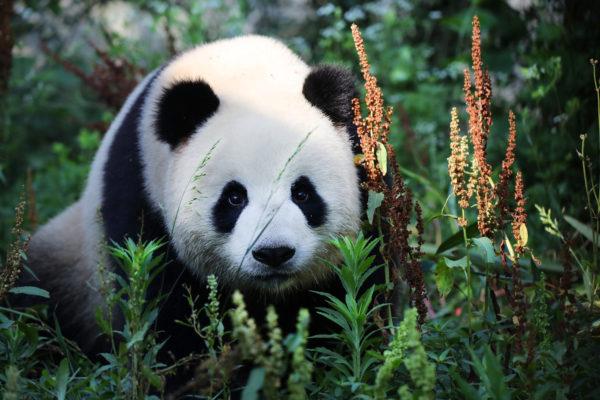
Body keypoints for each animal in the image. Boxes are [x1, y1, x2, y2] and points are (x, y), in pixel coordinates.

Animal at [22, 36, 380, 382]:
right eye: (234, 198)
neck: (243, 73)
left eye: (303, 193)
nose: (273, 253)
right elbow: (166, 317)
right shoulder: (139, 198)